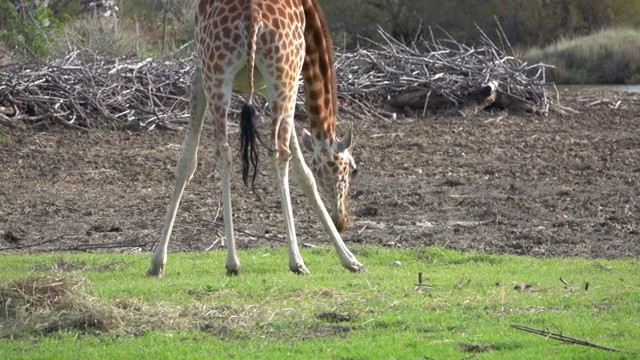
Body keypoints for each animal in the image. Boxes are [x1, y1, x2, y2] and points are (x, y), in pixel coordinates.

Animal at [146, 0, 364, 278]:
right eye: (354, 169)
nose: (342, 220)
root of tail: (252, 18)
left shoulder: (211, 74)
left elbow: (305, 174)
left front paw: (349, 259)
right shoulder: (204, 72)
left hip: (222, 76)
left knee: (226, 153)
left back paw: (234, 262)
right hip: (279, 77)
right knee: (277, 153)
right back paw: (293, 261)